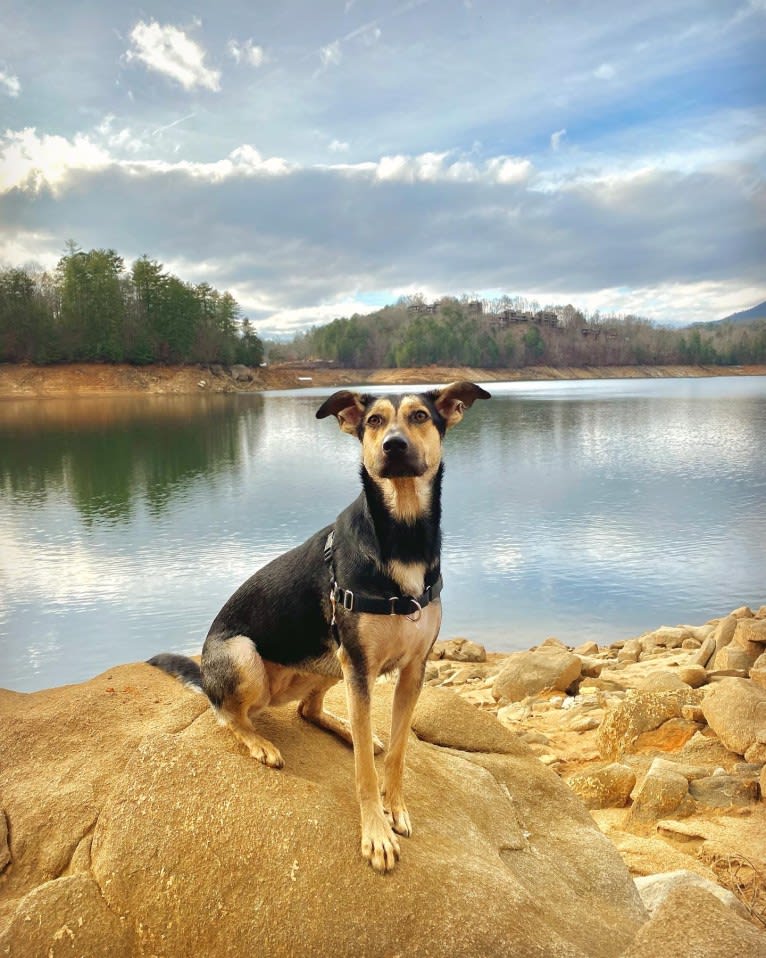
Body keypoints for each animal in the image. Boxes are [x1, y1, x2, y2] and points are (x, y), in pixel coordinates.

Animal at [148, 380, 492, 872]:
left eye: (420, 416)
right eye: (374, 421)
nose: (393, 445)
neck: (402, 535)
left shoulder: (412, 670)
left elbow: (399, 753)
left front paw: (396, 806)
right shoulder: (361, 666)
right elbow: (363, 773)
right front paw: (376, 833)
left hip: (330, 660)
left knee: (309, 711)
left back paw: (346, 729)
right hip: (248, 657)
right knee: (226, 714)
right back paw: (260, 742)